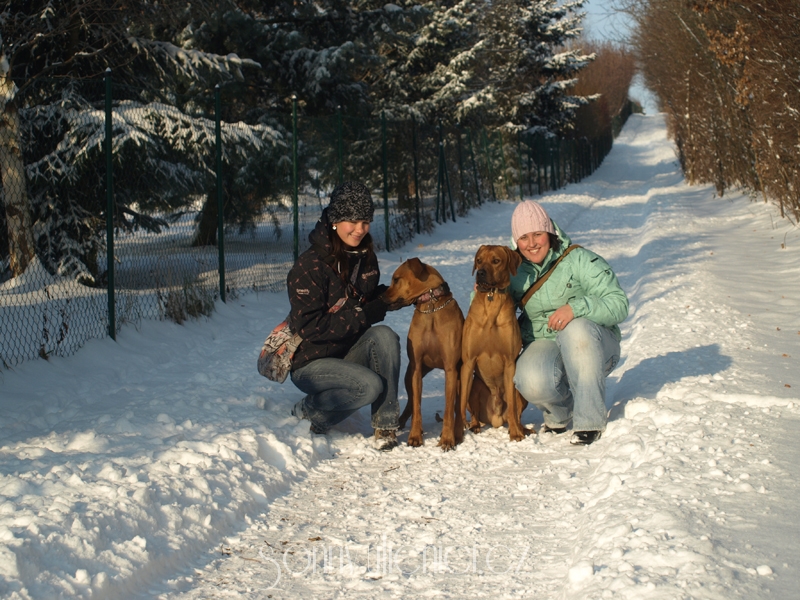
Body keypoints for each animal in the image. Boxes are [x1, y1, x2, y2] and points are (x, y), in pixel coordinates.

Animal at [382, 258, 465, 449]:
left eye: (396, 279)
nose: (380, 297)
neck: (431, 305)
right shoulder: (417, 367)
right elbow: (417, 407)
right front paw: (414, 436)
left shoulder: (450, 369)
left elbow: (449, 410)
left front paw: (447, 438)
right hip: (408, 376)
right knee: (411, 403)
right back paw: (401, 422)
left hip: (462, 377)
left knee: (457, 407)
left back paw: (457, 433)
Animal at [459, 245, 529, 443]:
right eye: (479, 260)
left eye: (496, 261)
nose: (480, 273)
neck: (491, 297)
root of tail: (495, 418)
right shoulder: (468, 362)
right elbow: (460, 405)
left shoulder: (510, 363)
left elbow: (512, 406)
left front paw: (515, 433)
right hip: (473, 386)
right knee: (473, 411)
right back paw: (474, 425)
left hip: (520, 392)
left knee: (516, 412)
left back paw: (522, 429)